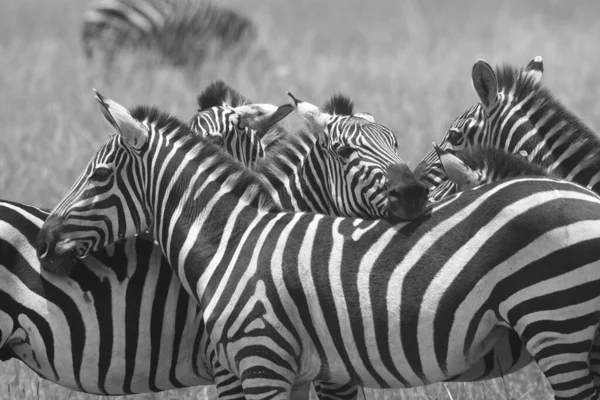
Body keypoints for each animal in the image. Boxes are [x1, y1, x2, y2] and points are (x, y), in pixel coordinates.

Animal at [36, 91, 600, 400]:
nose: (43, 241)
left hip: (556, 325)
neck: (232, 237)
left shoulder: (257, 359)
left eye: (100, 175)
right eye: (345, 151)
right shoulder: (304, 369)